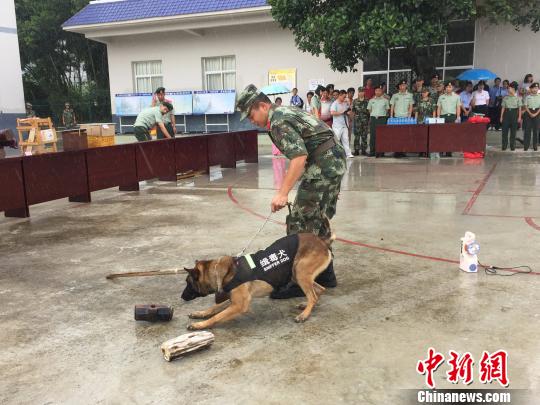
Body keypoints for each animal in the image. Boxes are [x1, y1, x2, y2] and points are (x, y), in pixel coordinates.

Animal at [181, 232, 334, 330]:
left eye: (188, 282)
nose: (182, 297)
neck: (222, 272)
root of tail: (321, 240)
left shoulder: (239, 305)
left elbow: (217, 316)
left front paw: (200, 325)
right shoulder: (232, 298)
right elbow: (214, 308)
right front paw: (200, 313)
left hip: (300, 272)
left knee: (313, 295)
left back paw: (304, 315)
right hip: (296, 274)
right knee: (320, 290)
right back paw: (306, 305)